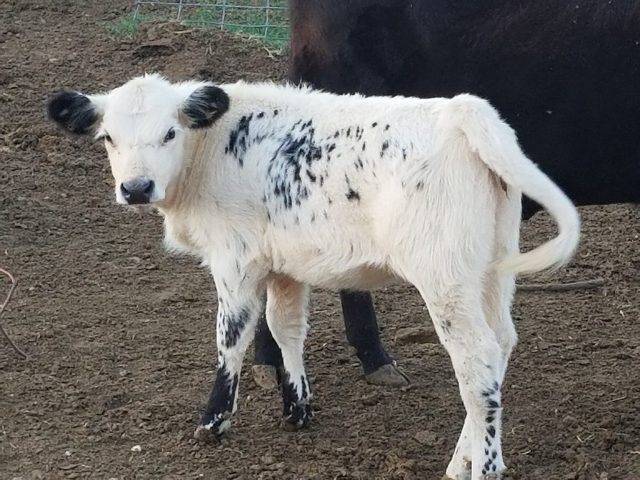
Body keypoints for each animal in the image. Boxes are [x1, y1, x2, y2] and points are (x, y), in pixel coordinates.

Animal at [48, 73, 580, 478]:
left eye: (169, 134)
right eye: (108, 137)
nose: (136, 187)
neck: (212, 148)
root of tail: (461, 110)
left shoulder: (234, 260)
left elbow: (231, 337)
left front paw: (213, 421)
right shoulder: (285, 264)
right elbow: (286, 328)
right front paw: (297, 408)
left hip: (444, 277)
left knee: (476, 360)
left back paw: (484, 466)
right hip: (491, 268)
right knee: (502, 342)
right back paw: (461, 462)